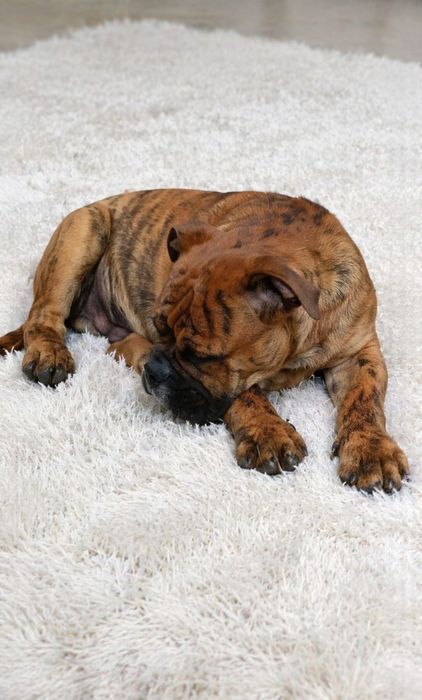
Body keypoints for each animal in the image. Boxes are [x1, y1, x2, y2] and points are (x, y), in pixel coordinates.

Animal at [0, 189, 408, 493]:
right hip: (81, 235)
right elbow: (246, 395)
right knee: (44, 317)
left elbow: (364, 400)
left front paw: (371, 449)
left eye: (200, 356)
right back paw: (50, 353)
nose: (154, 370)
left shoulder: (359, 353)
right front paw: (268, 430)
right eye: (158, 327)